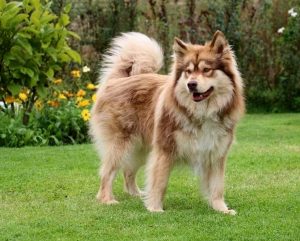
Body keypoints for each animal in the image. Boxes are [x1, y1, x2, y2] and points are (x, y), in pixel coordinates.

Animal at [89, 30, 244, 215]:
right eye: (188, 71)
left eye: (207, 70)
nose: (191, 84)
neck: (202, 113)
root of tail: (116, 81)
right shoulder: (164, 150)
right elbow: (160, 183)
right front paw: (155, 208)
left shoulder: (216, 154)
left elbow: (217, 186)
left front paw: (221, 209)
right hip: (120, 145)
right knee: (107, 172)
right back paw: (107, 199)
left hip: (140, 148)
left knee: (128, 171)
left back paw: (136, 194)